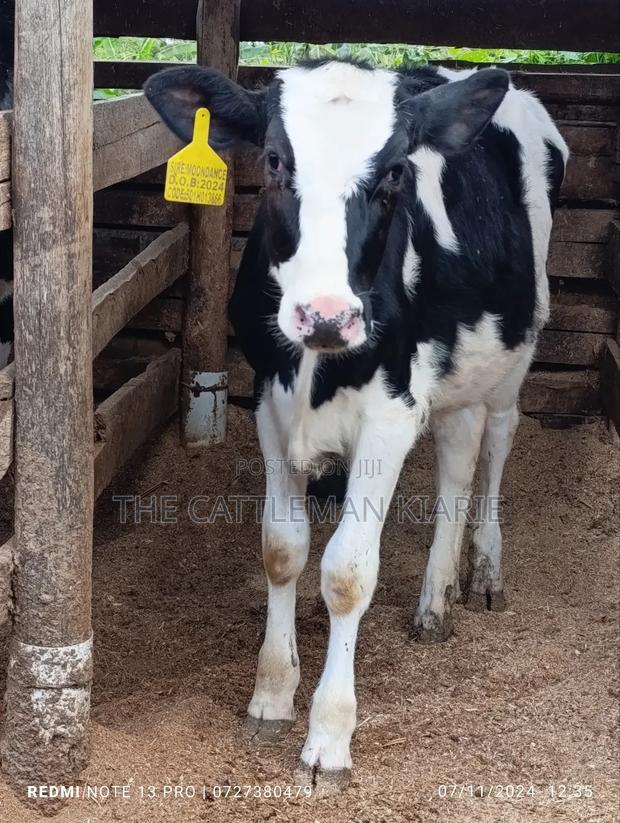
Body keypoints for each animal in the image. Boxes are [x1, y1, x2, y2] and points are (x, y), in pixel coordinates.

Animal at [145, 59, 568, 793]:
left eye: (396, 171)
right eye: (276, 161)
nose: (325, 315)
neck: (318, 364)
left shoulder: (391, 413)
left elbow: (346, 572)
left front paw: (328, 737)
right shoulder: (268, 398)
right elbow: (281, 548)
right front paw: (271, 695)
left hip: (516, 349)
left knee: (496, 442)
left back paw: (484, 569)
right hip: (454, 372)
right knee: (457, 457)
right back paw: (435, 601)